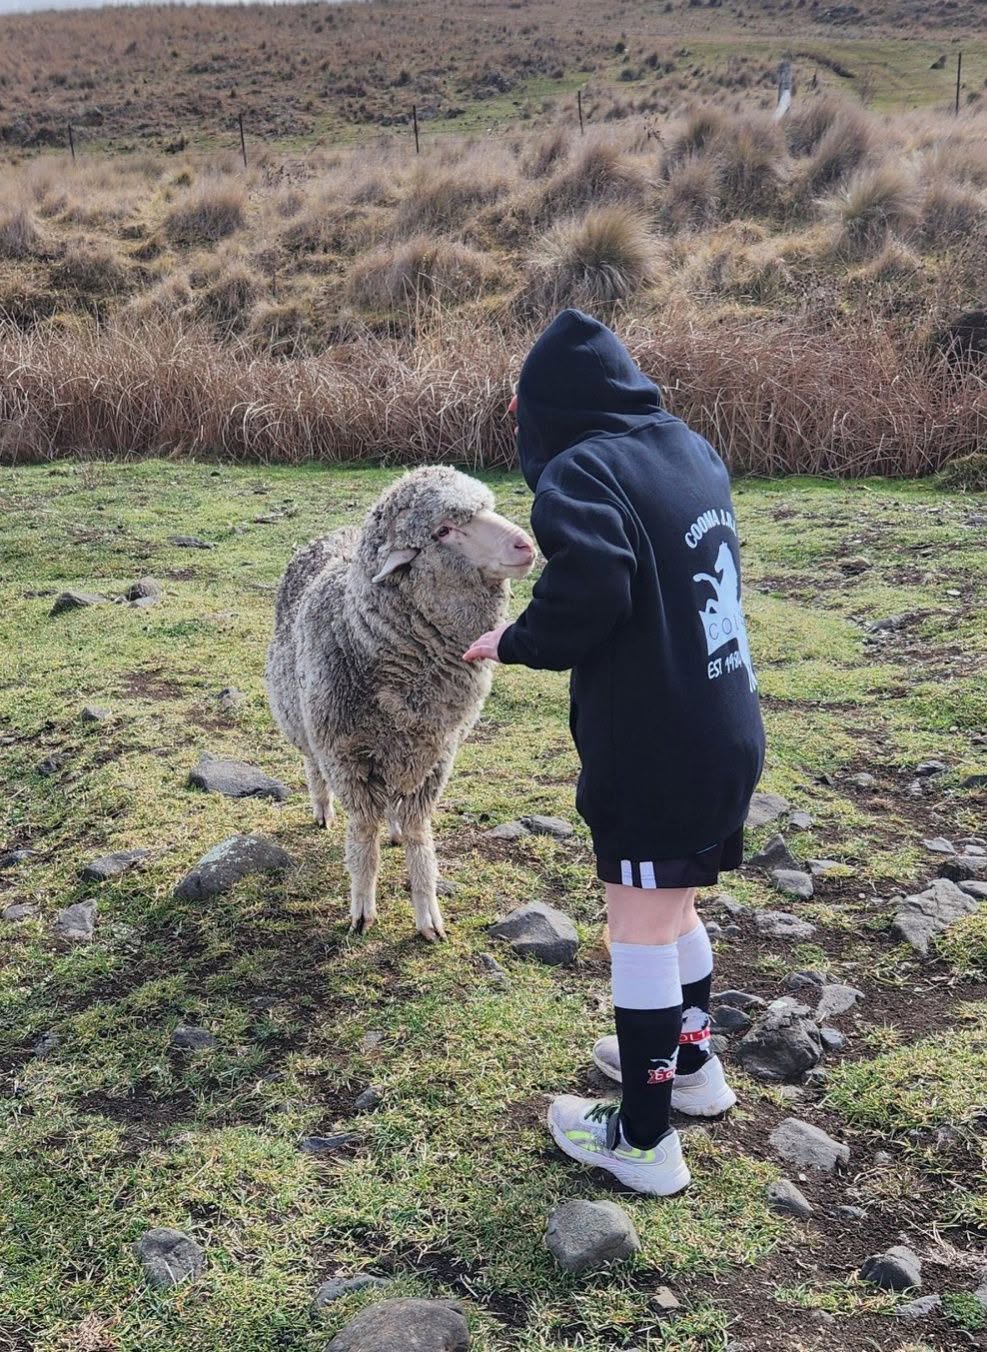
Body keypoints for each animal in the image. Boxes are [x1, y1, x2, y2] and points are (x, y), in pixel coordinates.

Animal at [266, 466, 535, 940]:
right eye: (443, 530)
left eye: (487, 507)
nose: (525, 545)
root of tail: (335, 533)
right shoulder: (345, 756)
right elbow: (362, 836)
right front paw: (361, 908)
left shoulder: (433, 757)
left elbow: (417, 833)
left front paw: (428, 913)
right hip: (304, 721)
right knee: (312, 767)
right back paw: (322, 809)